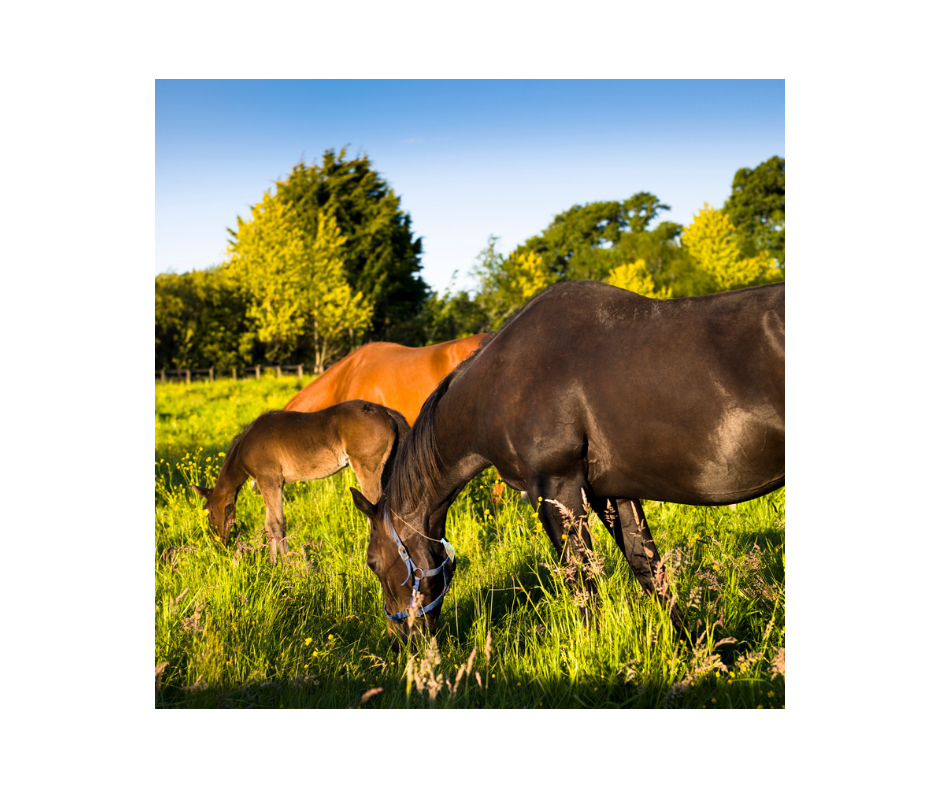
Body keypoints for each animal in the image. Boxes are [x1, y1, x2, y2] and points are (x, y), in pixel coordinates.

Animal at [194, 400, 408, 560]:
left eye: (209, 513)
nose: (219, 544)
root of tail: (386, 412)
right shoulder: (271, 484)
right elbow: (268, 525)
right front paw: (273, 565)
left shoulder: (269, 480)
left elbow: (276, 523)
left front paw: (287, 566)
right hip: (388, 466)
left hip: (367, 469)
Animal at [348, 282, 784, 640]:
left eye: (373, 563)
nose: (401, 640)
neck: (497, 383)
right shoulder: (615, 494)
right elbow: (649, 570)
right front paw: (693, 650)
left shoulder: (558, 492)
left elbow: (583, 584)